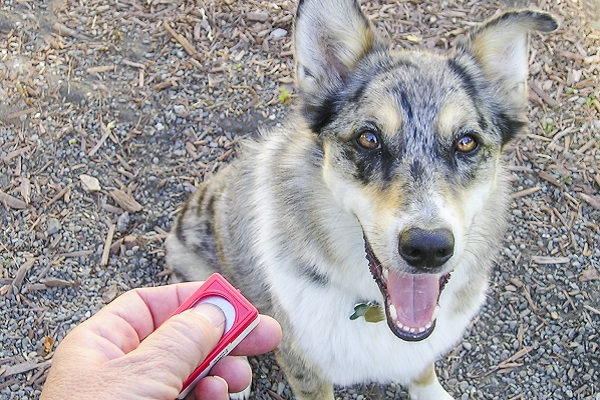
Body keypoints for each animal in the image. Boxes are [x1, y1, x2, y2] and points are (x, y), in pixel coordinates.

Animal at [165, 1, 556, 398]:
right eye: (369, 139)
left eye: (466, 142)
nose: (428, 248)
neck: (376, 312)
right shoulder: (303, 364)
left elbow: (423, 368)